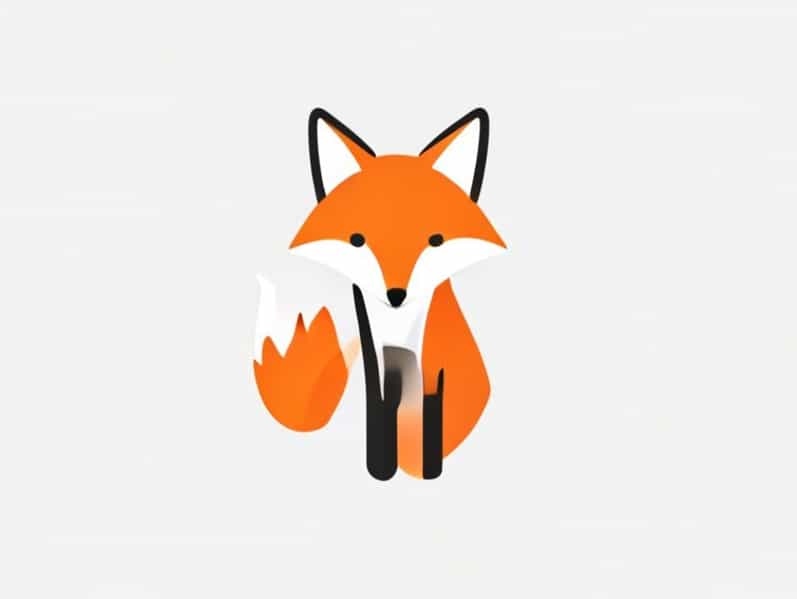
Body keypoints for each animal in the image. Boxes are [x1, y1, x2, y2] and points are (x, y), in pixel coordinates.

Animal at [253, 107, 506, 480]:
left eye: (436, 240)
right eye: (358, 240)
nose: (396, 294)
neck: (397, 326)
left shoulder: (432, 366)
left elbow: (430, 418)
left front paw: (426, 470)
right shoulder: (373, 350)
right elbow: (379, 407)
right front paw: (381, 467)